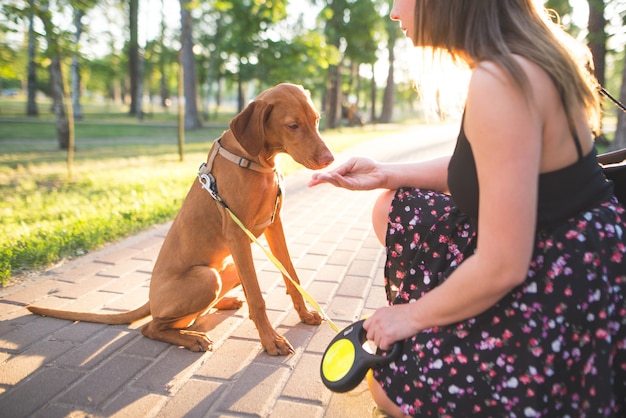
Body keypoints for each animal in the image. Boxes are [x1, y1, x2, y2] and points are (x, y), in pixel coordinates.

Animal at [27, 84, 334, 356]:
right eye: (292, 125)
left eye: (316, 120)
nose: (329, 159)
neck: (255, 160)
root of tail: (151, 301)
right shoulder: (237, 235)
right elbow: (257, 299)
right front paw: (271, 341)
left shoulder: (274, 224)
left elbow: (291, 275)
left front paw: (305, 313)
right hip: (208, 277)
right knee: (152, 327)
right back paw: (192, 338)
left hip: (230, 268)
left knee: (194, 312)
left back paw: (222, 305)